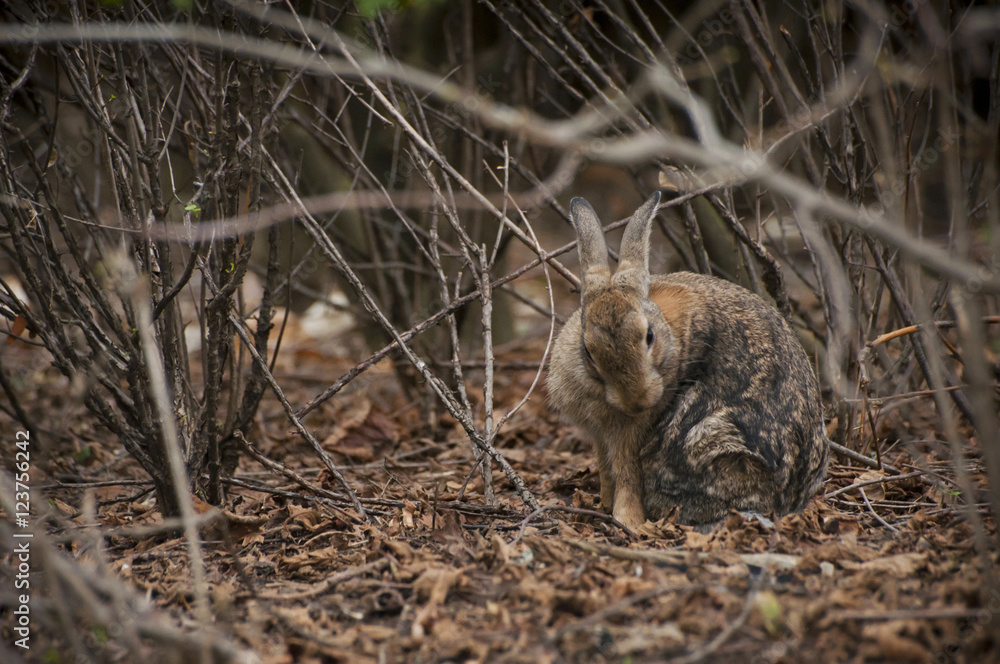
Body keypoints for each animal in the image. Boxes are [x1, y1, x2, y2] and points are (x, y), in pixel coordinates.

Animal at [547, 192, 829, 530]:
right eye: (588, 350)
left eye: (649, 336)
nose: (637, 401)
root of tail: (785, 500)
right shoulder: (599, 435)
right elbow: (605, 467)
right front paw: (603, 503)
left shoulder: (631, 432)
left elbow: (627, 472)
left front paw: (627, 519)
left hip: (707, 443)